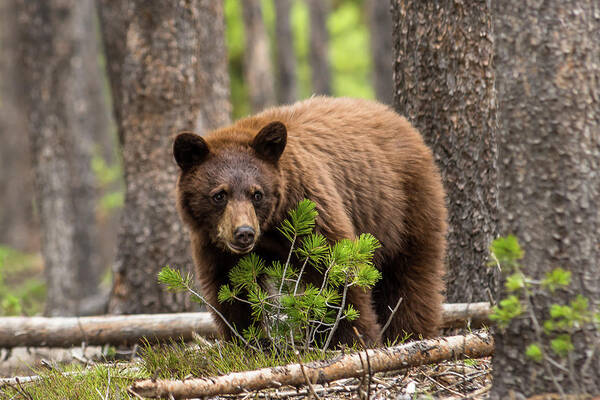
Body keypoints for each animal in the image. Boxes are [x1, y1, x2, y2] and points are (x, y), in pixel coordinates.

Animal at [172, 96, 446, 344]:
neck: (270, 229)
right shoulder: (214, 246)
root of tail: (400, 120)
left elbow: (336, 274)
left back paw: (410, 334)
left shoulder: (310, 209)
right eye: (219, 194)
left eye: (257, 193)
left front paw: (351, 339)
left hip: (404, 208)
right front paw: (249, 344)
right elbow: (231, 292)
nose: (244, 232)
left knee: (410, 277)